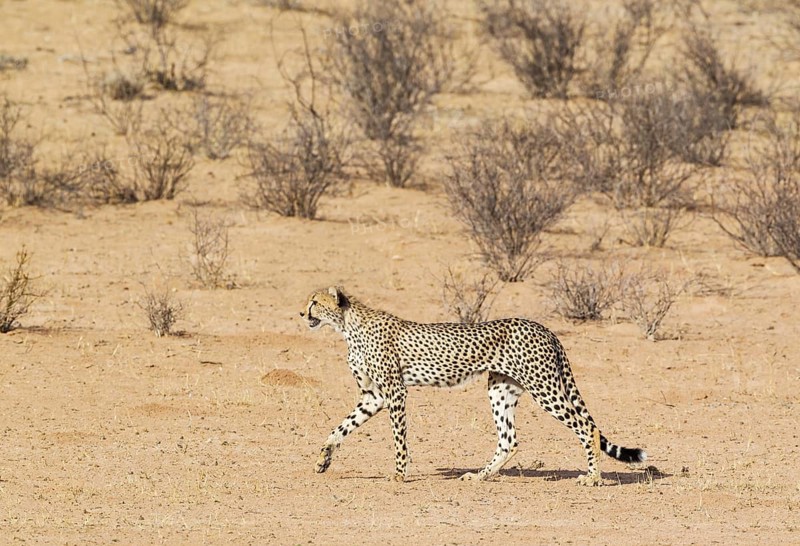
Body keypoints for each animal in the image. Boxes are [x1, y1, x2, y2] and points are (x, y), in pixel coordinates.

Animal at [301, 286, 647, 485]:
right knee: (509, 440)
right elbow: (340, 428)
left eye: (314, 302)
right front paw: (323, 460)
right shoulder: (373, 395)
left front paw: (399, 473)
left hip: (544, 387)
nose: (302, 313)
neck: (347, 326)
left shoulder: (395, 392)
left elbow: (399, 439)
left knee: (587, 429)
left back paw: (593, 477)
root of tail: (543, 327)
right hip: (500, 389)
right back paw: (479, 476)